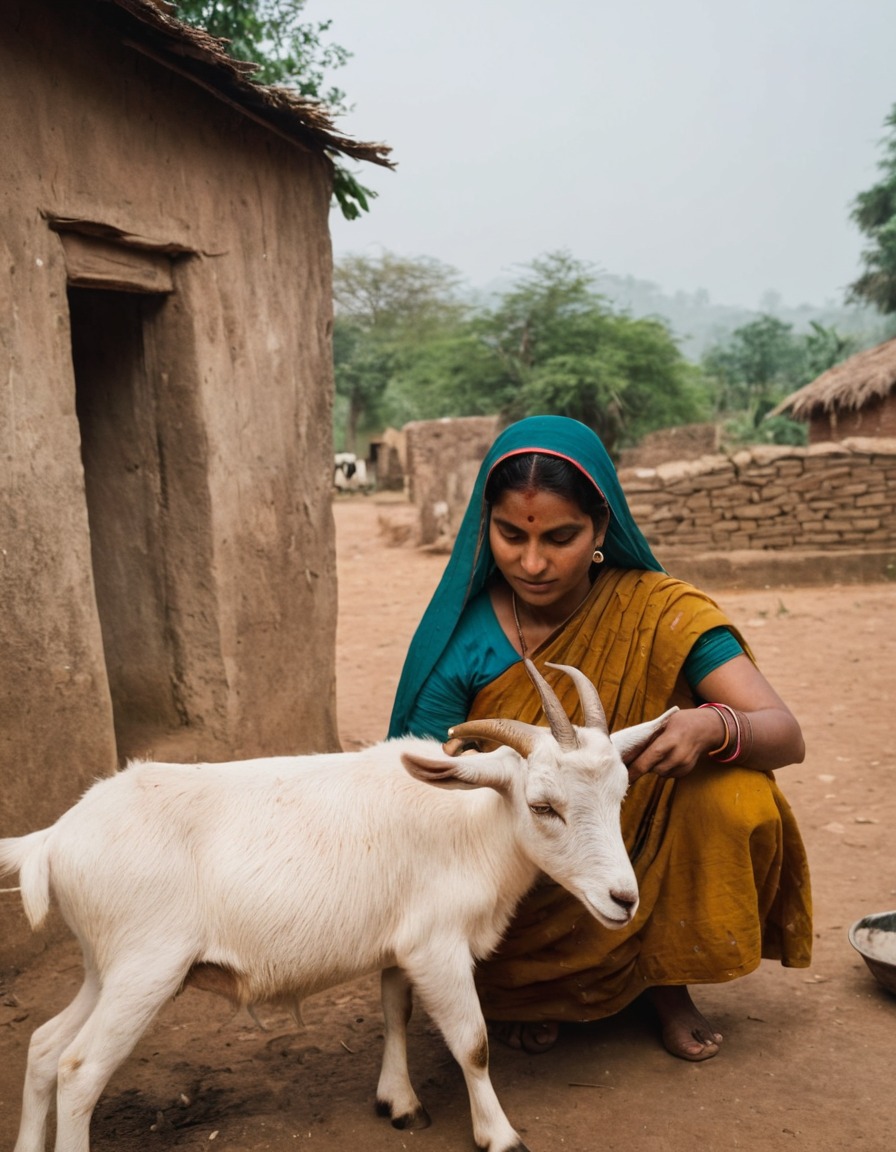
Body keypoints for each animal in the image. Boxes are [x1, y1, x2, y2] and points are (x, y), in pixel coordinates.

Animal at [0, 663, 672, 1152]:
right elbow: (473, 1042)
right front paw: (500, 1136)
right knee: (79, 1069)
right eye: (542, 806)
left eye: (620, 792)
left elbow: (395, 1013)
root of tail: (54, 839)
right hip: (146, 969)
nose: (623, 899)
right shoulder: (437, 945)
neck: (471, 820)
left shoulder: (402, 945)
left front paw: (399, 1103)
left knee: (44, 1047)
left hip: (104, 966)